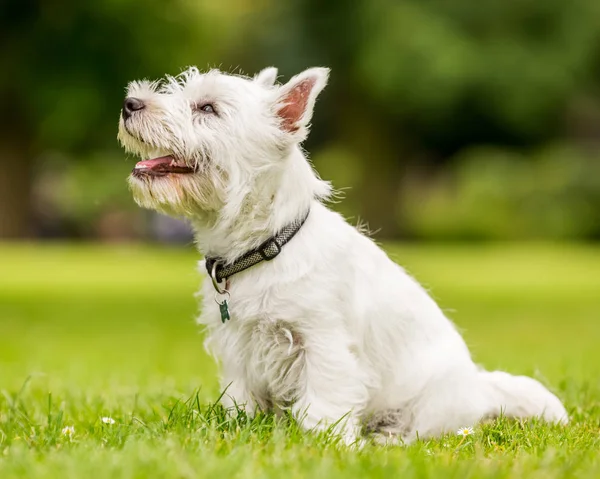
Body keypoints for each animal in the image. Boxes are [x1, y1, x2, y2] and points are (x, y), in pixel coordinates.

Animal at [117, 65, 568, 444]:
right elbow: (242, 396)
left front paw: (325, 443)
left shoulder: (322, 340)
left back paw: (384, 440)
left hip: (432, 402)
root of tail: (481, 386)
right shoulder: (237, 346)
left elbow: (325, 397)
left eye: (208, 108)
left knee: (422, 430)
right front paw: (241, 427)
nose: (130, 103)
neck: (264, 246)